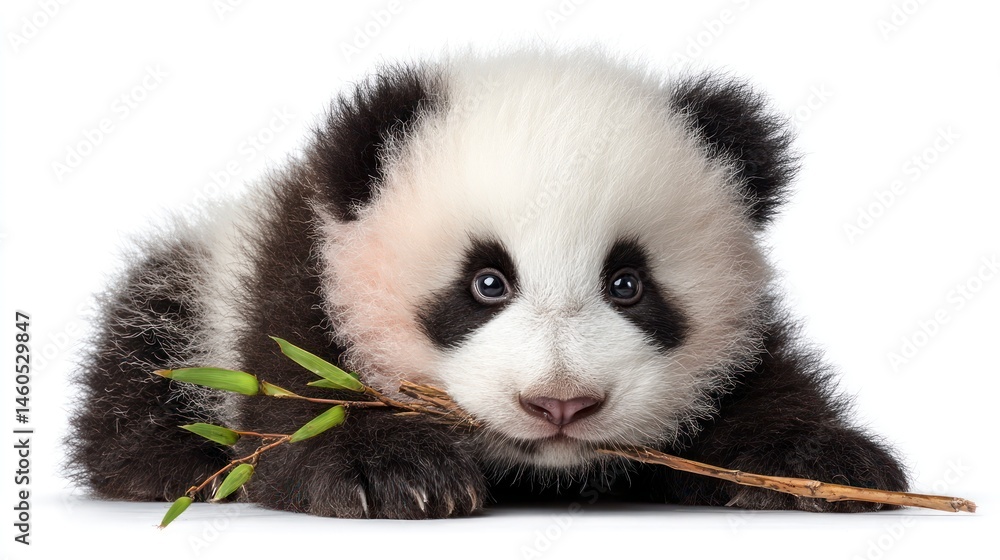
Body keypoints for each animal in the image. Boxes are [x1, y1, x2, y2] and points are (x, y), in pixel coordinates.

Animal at [68, 48, 908, 519]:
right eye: (488, 283)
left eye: (628, 284)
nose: (561, 404)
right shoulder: (297, 275)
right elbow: (297, 394)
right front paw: (391, 474)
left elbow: (762, 386)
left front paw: (821, 463)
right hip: (189, 293)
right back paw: (176, 466)